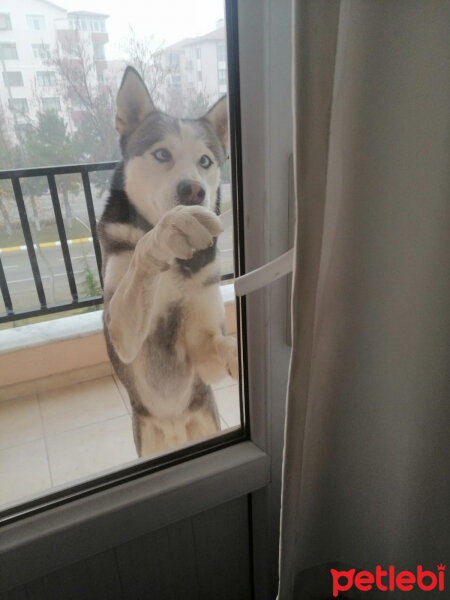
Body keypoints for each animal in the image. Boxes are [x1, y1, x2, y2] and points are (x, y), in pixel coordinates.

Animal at [98, 67, 239, 460]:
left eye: (205, 161)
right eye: (162, 154)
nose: (194, 190)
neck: (175, 266)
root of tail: (175, 430)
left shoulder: (203, 349)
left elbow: (221, 347)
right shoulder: (122, 333)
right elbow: (144, 253)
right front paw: (167, 230)